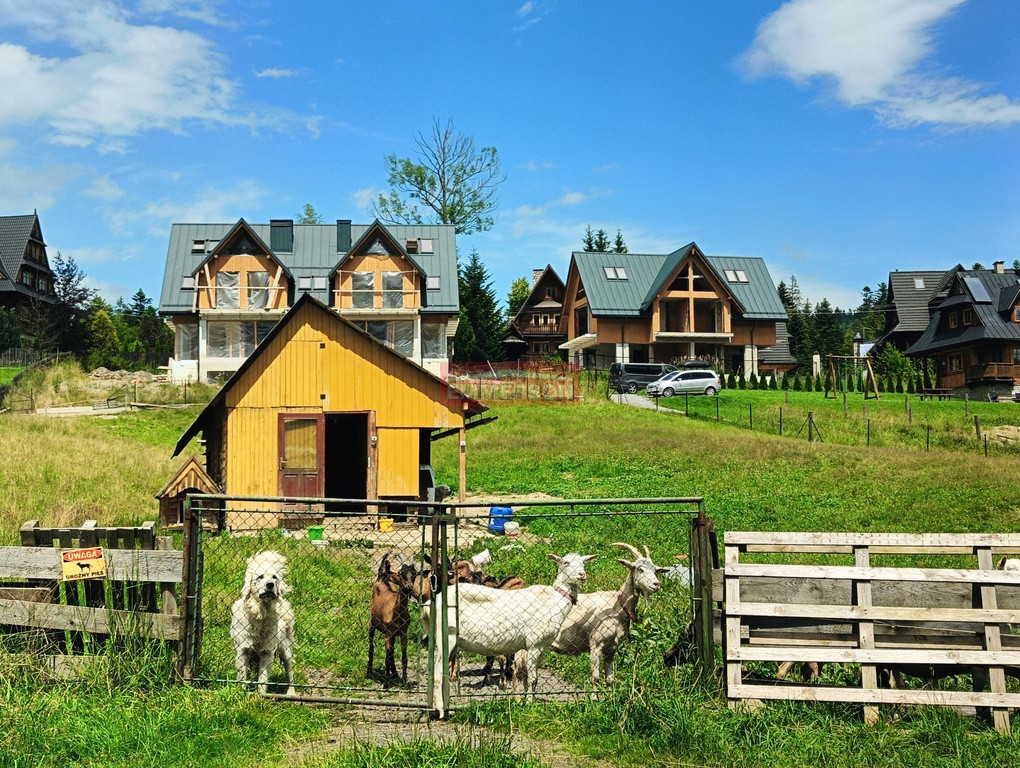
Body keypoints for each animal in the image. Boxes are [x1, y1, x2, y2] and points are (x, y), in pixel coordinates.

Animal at [230, 546, 295, 693]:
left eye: (274, 577)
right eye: (260, 577)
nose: (270, 585)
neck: (260, 614)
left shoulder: (267, 652)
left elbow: (263, 679)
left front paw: (260, 695)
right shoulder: (243, 650)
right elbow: (243, 676)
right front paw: (242, 692)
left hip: (285, 649)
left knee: (290, 672)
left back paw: (291, 692)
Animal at [432, 550, 595, 705]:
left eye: (584, 562)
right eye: (566, 562)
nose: (582, 574)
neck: (553, 600)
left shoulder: (541, 647)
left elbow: (528, 677)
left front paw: (526, 699)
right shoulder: (534, 644)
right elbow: (533, 679)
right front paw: (529, 703)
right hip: (445, 636)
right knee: (437, 673)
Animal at [550, 538, 669, 681]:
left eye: (655, 570)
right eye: (639, 569)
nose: (656, 585)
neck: (617, 607)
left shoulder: (612, 648)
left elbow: (610, 679)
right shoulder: (595, 644)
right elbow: (595, 678)